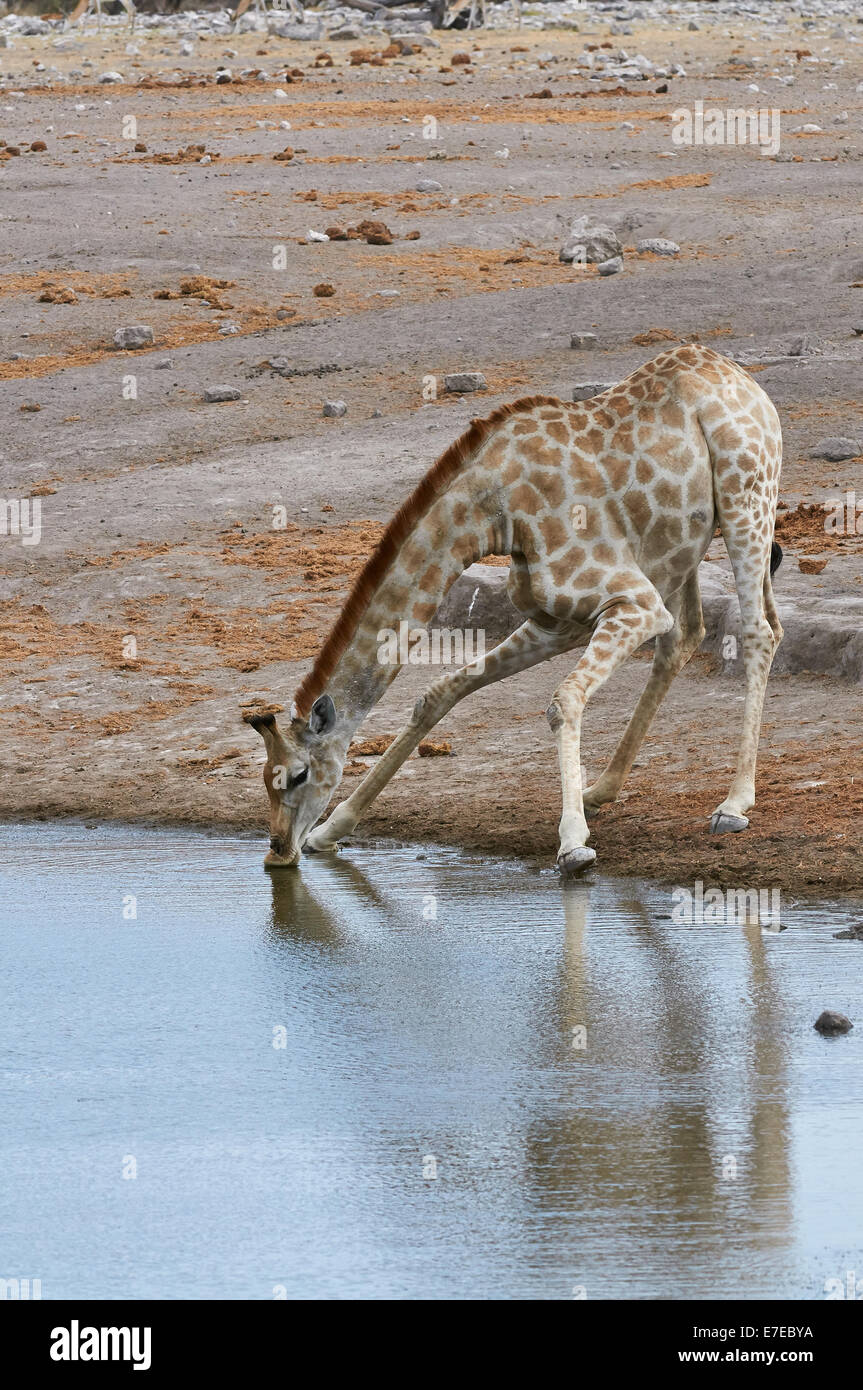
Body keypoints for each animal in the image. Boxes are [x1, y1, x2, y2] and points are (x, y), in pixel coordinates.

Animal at [247, 343, 778, 872]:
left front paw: (573, 843)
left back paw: (733, 804)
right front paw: (333, 829)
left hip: (746, 501)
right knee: (686, 635)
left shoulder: (635, 603)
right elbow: (439, 691)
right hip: (682, 548)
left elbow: (563, 699)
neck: (496, 513)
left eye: (297, 775)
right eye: (264, 777)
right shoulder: (557, 621)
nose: (278, 851)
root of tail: (735, 372)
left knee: (759, 632)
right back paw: (600, 790)